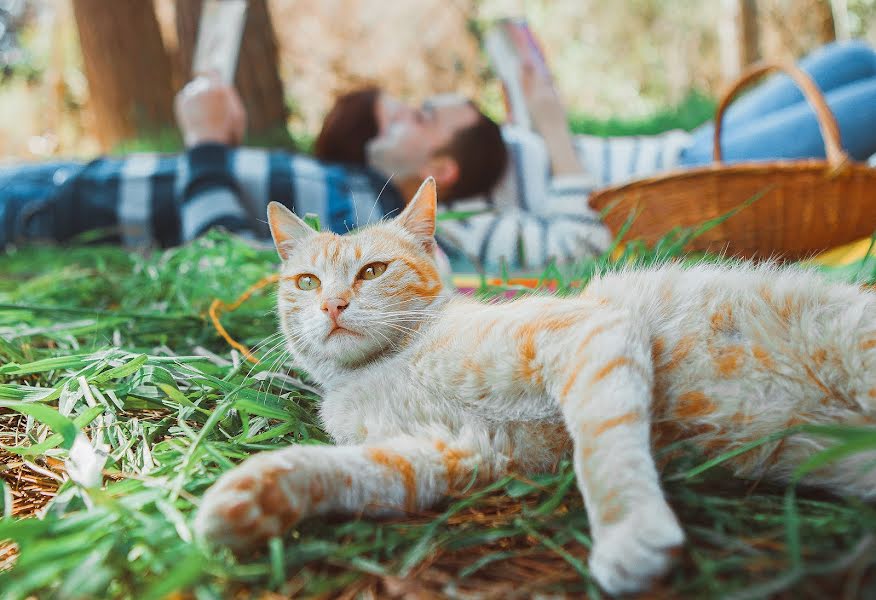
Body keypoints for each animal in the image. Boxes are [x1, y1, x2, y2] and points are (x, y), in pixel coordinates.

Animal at [197, 176, 876, 592]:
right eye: (307, 282)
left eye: (372, 271)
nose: (332, 305)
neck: (381, 370)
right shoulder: (452, 451)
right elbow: (347, 472)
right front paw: (246, 497)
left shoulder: (587, 336)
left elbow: (604, 452)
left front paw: (629, 533)